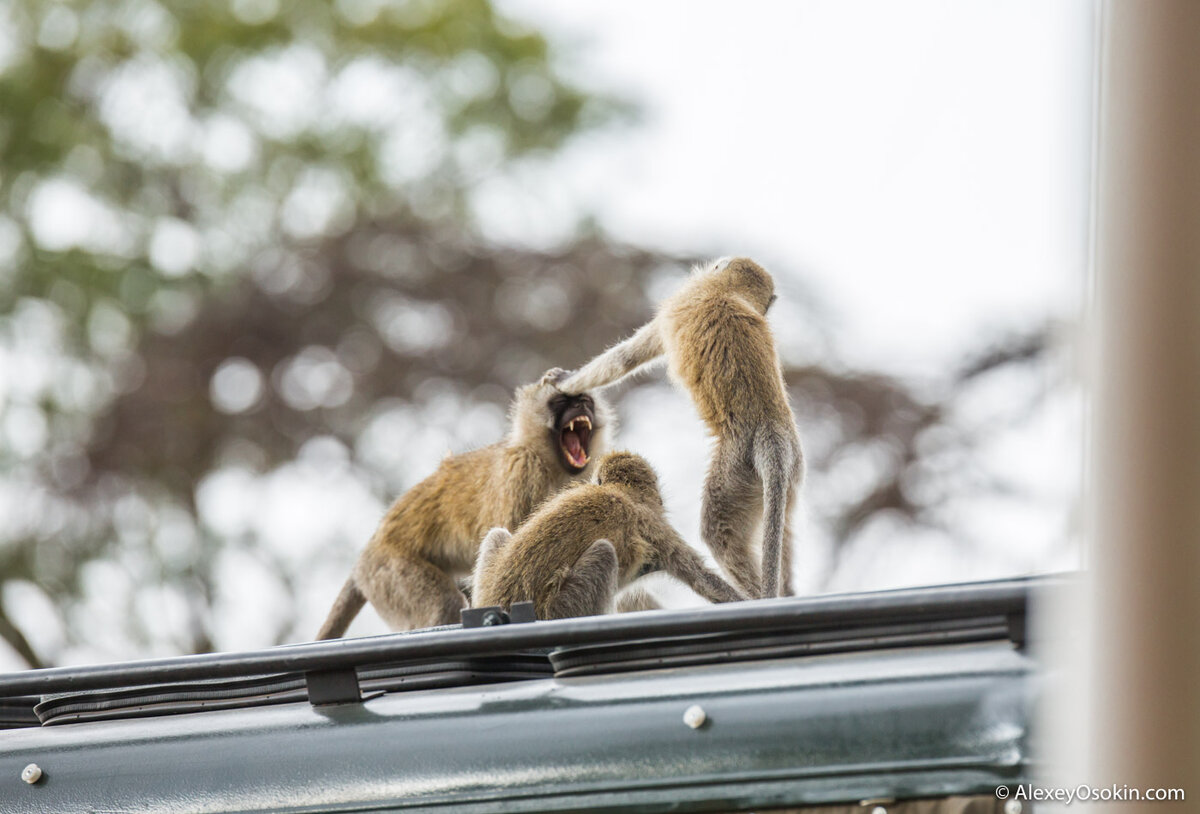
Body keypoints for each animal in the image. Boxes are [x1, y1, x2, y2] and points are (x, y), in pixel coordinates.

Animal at [314, 372, 614, 643]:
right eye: (562, 401)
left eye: (584, 401)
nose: (580, 408)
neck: (551, 464)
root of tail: (371, 547)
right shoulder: (523, 472)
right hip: (387, 570)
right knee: (444, 603)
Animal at [472, 453, 744, 619]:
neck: (622, 492)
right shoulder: (655, 526)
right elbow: (703, 580)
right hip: (562, 609)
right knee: (604, 553)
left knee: (497, 535)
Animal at [554, 258, 801, 602]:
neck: (726, 290)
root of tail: (772, 431)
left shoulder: (675, 304)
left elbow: (626, 358)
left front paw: (565, 381)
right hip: (790, 475)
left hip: (737, 471)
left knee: (720, 535)